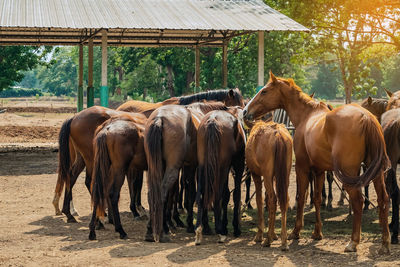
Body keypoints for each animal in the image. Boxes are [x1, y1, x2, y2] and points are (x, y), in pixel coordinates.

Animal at [88, 113, 148, 241]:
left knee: (98, 193)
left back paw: (93, 230)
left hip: (105, 170)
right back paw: (120, 230)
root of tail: (106, 130)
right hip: (119, 170)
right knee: (113, 194)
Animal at [192, 108, 245, 245]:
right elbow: (235, 194)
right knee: (217, 195)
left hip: (203, 165)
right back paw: (220, 232)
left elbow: (226, 195)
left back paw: (199, 230)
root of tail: (213, 120)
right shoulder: (238, 164)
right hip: (222, 167)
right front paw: (235, 228)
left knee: (201, 194)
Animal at [245, 121, 292, 251]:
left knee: (273, 199)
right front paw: (274, 234)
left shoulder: (256, 174)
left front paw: (260, 235)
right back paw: (283, 240)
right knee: (283, 199)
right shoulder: (275, 176)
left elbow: (259, 199)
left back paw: (267, 240)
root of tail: (278, 134)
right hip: (285, 174)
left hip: (266, 174)